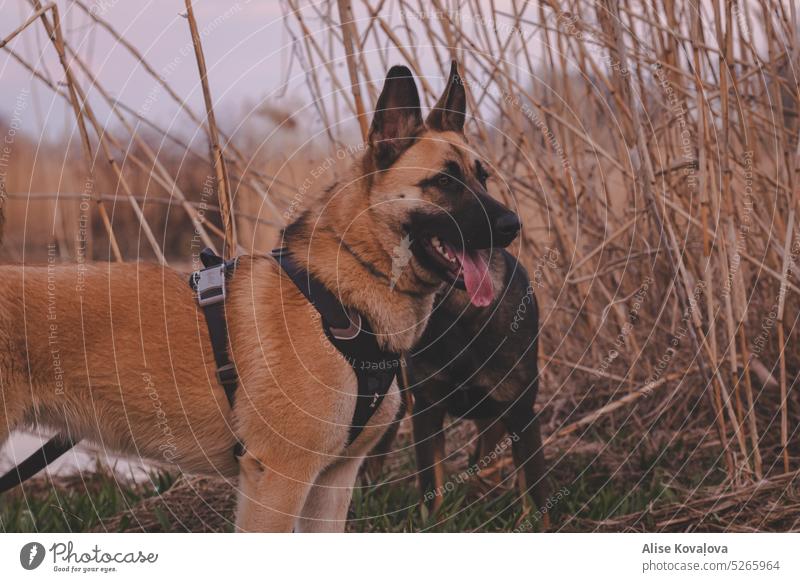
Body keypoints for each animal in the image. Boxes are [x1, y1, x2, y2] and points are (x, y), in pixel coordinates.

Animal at [0, 64, 520, 532]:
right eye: (445, 181)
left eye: (483, 177)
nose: (513, 225)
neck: (339, 298)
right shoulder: (279, 479)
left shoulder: (333, 481)